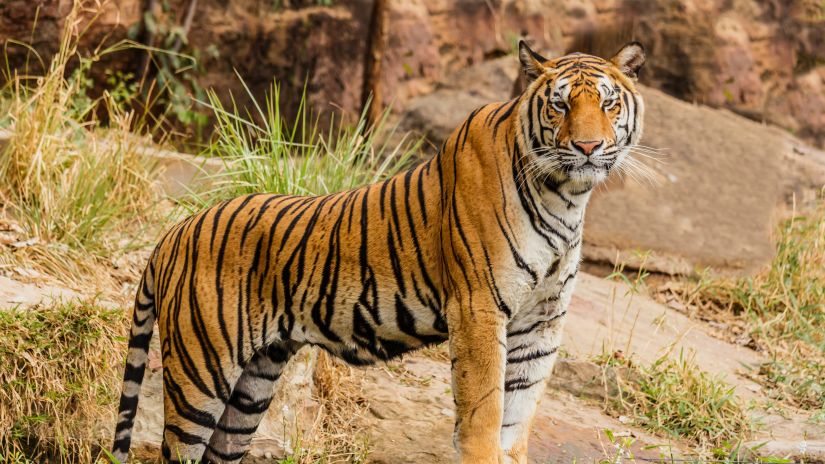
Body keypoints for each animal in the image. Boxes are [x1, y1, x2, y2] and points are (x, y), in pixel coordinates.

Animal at [112, 40, 648, 464]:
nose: (587, 146)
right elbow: (484, 410)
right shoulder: (479, 308)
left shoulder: (542, 321)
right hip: (200, 372)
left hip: (252, 385)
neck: (566, 197)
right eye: (559, 105)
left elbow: (517, 416)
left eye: (608, 104)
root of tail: (174, 232)